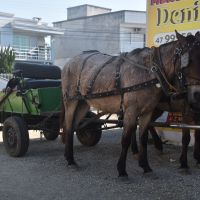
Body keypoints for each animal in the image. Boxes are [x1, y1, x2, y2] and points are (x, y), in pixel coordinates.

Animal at [61, 30, 200, 177]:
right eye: (189, 61)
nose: (197, 94)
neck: (150, 72)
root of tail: (69, 63)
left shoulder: (147, 112)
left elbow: (143, 138)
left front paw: (145, 166)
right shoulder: (131, 111)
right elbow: (126, 139)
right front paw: (122, 170)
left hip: (83, 103)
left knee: (75, 125)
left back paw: (68, 156)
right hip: (71, 101)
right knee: (69, 126)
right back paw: (71, 160)